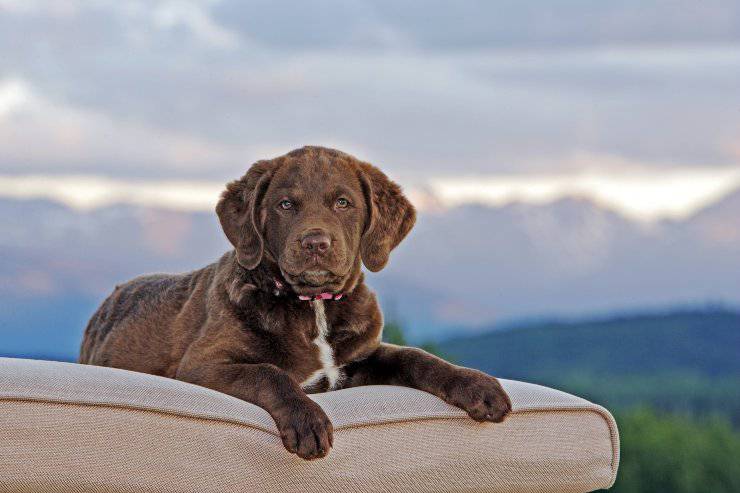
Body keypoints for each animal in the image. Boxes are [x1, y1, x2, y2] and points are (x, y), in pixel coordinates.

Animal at [79, 145, 508, 458]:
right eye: (286, 205)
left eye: (343, 203)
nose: (316, 243)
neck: (314, 307)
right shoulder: (202, 366)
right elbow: (271, 372)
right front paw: (308, 422)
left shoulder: (359, 358)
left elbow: (416, 356)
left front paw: (478, 385)